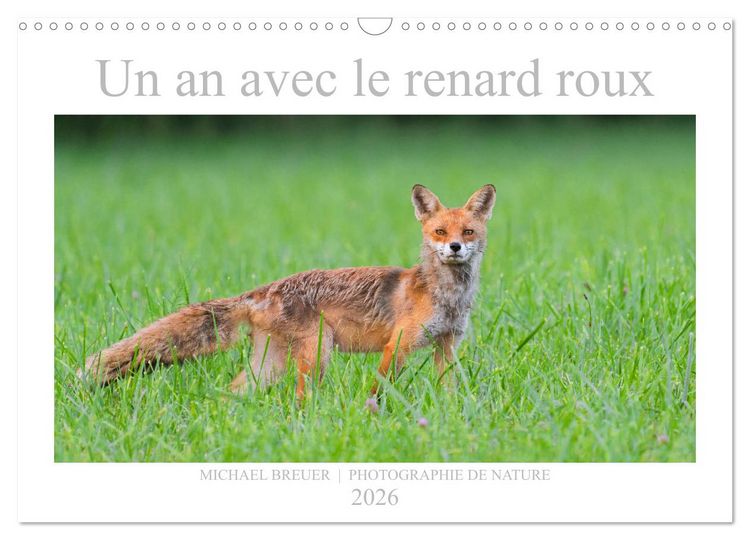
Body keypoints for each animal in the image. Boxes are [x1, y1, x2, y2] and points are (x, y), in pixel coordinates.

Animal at [81, 184, 496, 400]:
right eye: (439, 232)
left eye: (468, 232)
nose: (455, 248)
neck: (446, 296)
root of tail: (263, 289)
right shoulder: (399, 344)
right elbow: (378, 389)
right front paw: (373, 415)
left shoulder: (447, 344)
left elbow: (450, 389)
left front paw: (452, 417)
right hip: (316, 354)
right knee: (298, 398)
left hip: (270, 363)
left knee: (233, 389)